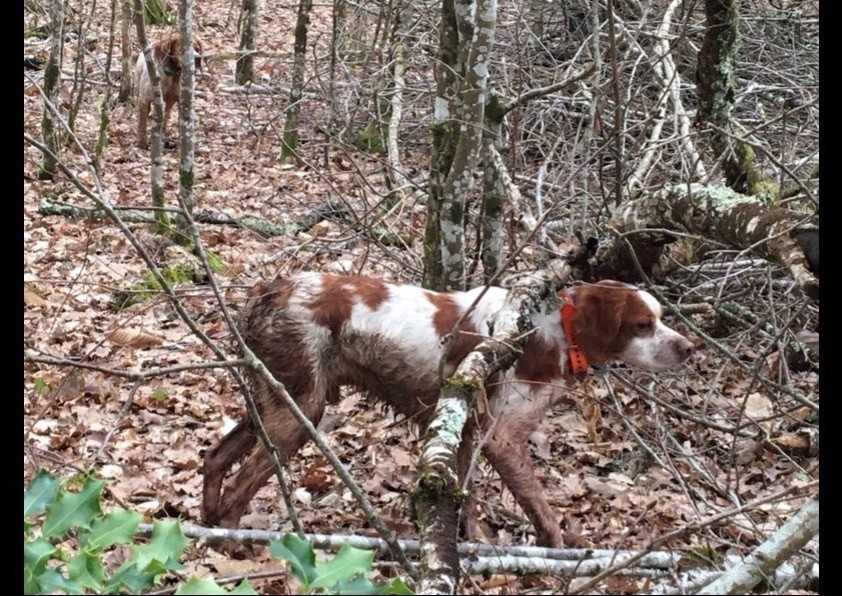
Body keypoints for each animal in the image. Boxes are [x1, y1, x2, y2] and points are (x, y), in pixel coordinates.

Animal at [200, 272, 692, 548]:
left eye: (661, 319)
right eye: (643, 325)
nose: (689, 348)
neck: (555, 331)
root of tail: (271, 291)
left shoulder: (467, 430)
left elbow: (465, 497)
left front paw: (473, 544)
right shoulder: (501, 439)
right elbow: (540, 507)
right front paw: (555, 550)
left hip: (276, 402)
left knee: (214, 459)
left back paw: (208, 529)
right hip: (298, 411)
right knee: (239, 488)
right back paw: (236, 547)